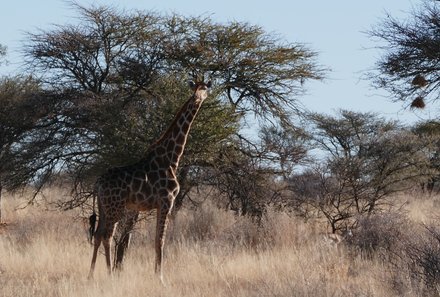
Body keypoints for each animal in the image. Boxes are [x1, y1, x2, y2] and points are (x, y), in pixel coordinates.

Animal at [88, 79, 211, 280]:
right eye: (199, 88)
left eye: (204, 88)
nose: (197, 98)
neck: (171, 158)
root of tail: (98, 183)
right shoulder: (167, 201)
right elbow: (159, 240)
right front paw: (160, 278)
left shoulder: (160, 205)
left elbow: (156, 239)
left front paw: (157, 275)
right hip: (115, 208)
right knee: (107, 236)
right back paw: (110, 274)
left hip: (103, 206)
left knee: (98, 235)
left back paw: (90, 275)